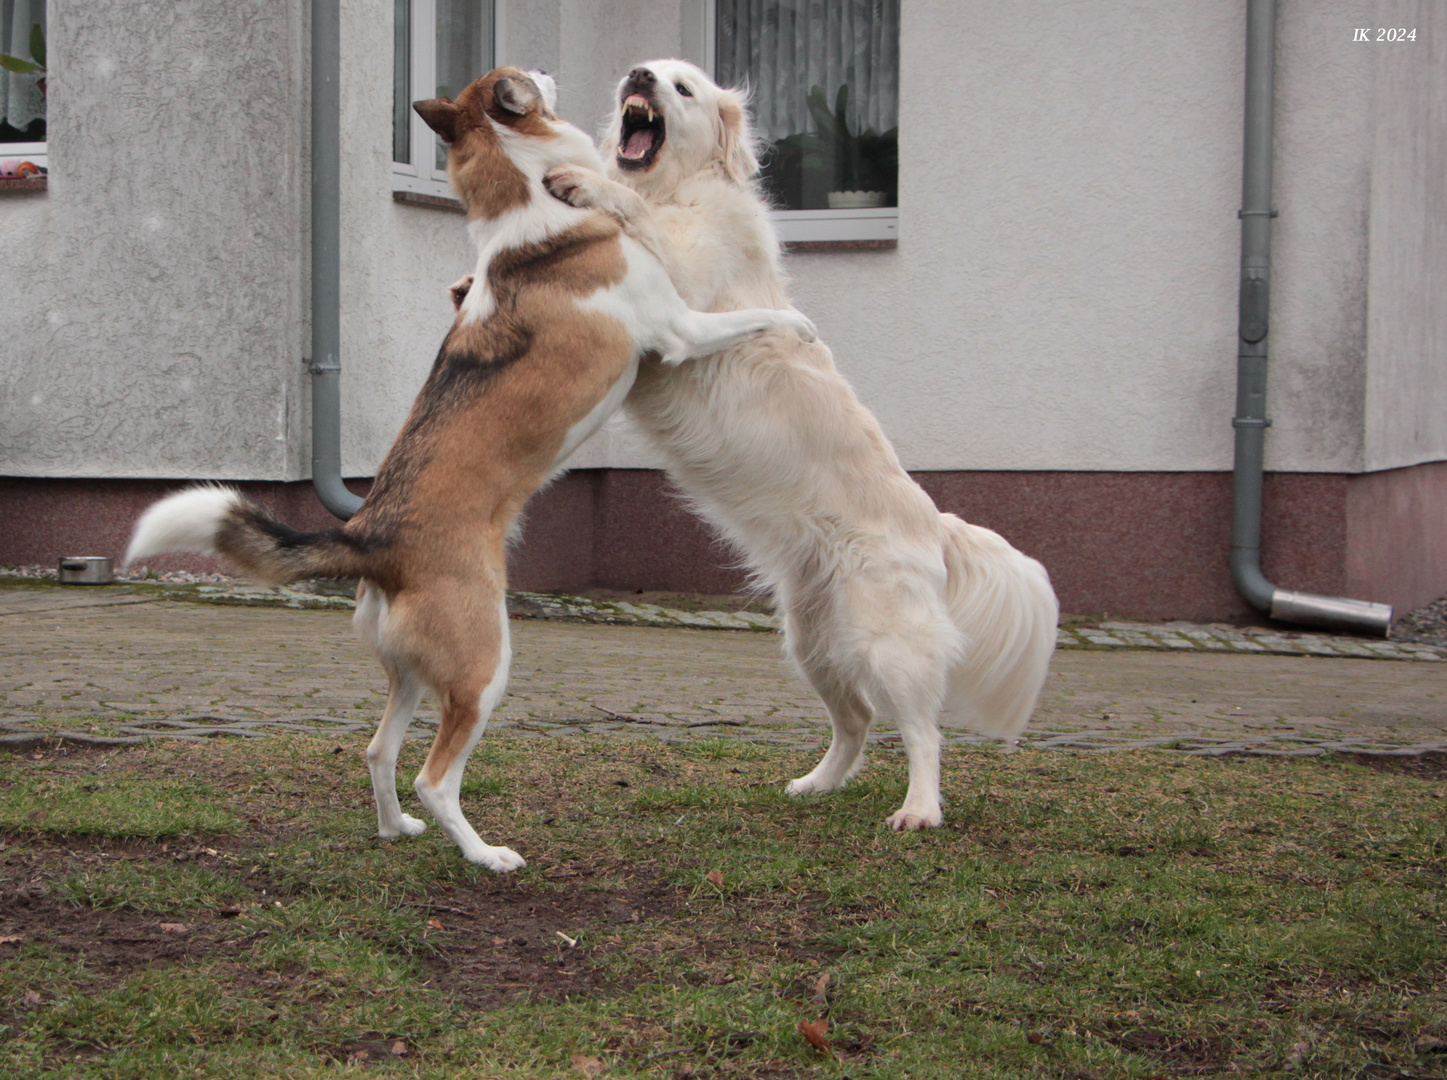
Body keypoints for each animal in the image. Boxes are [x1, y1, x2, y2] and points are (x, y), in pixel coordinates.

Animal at [124, 69, 816, 868]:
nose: (548, 71)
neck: (531, 205)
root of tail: (369, 535)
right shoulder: (679, 329)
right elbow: (749, 318)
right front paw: (796, 324)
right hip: (484, 668)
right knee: (433, 776)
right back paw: (484, 854)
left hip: (413, 675)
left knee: (377, 752)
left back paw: (396, 829)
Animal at [538, 58, 1059, 828]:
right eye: (649, 70)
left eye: (682, 87)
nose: (638, 75)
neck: (676, 184)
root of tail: (936, 525)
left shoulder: (684, 287)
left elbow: (637, 216)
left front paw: (581, 181)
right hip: (811, 640)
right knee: (857, 722)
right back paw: (816, 784)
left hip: (886, 642)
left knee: (921, 731)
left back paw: (918, 810)